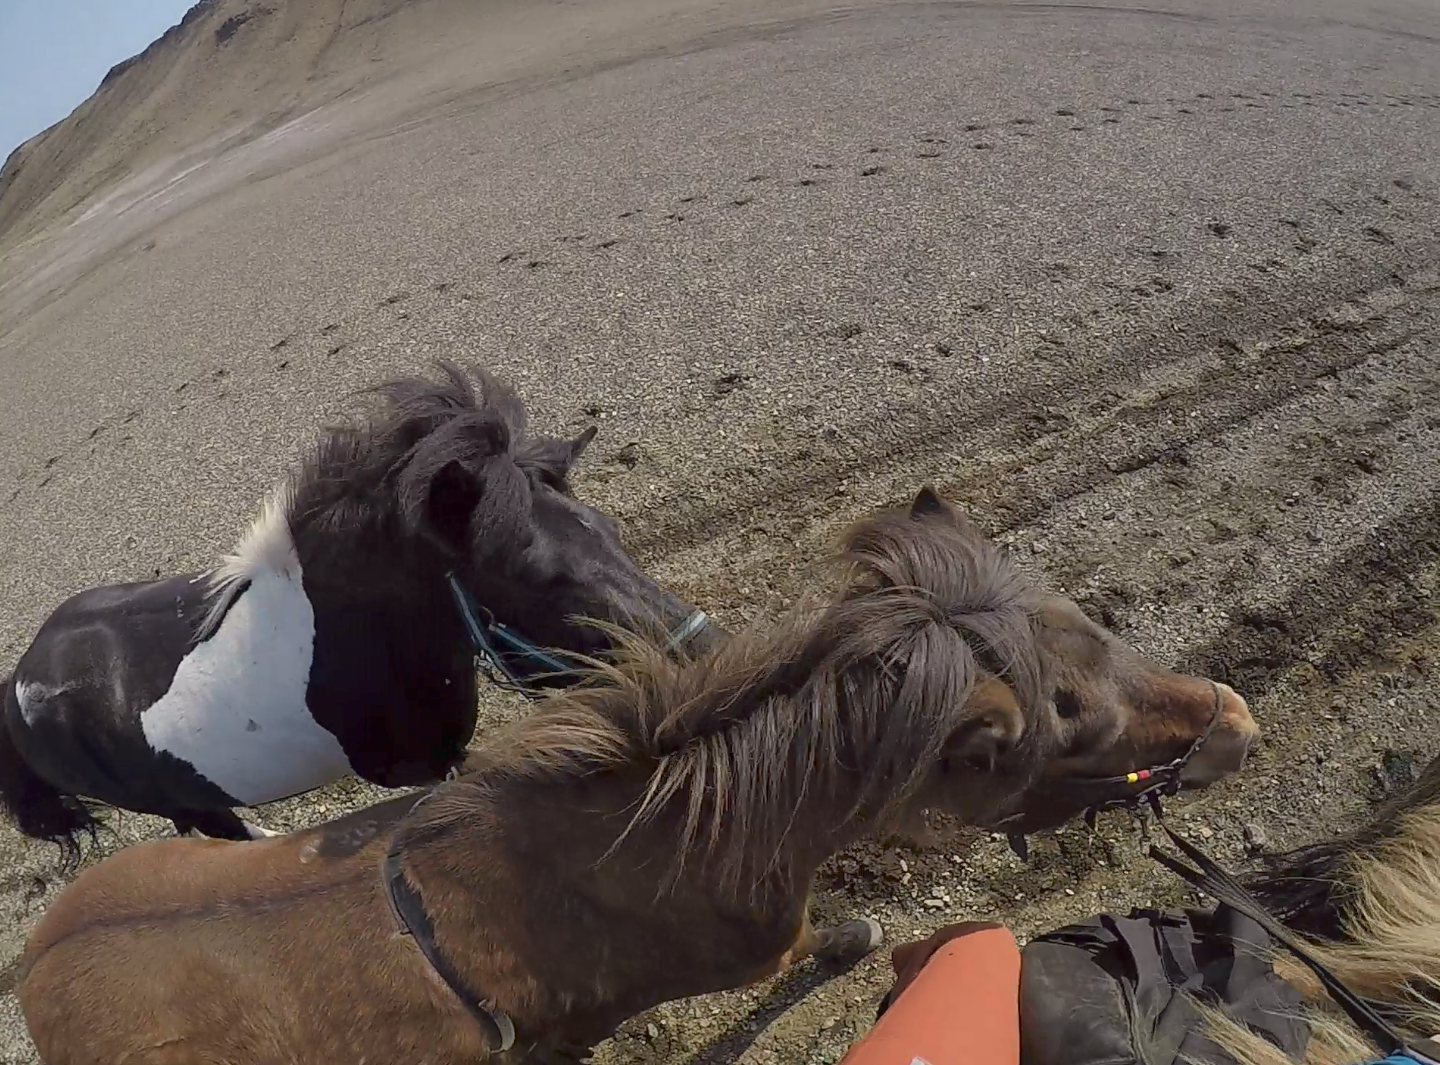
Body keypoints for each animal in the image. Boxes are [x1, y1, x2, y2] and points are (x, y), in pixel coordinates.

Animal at [0, 361, 718, 853]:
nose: (704, 657)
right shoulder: (418, 767)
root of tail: (20, 681)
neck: (360, 638)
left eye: (610, 530)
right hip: (171, 802)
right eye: (538, 575)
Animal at [16, 487, 1260, 1065]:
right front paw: (853, 938)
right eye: (1071, 726)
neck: (646, 835)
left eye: (1090, 626)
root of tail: (30, 972)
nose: (1237, 724)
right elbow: (811, 950)